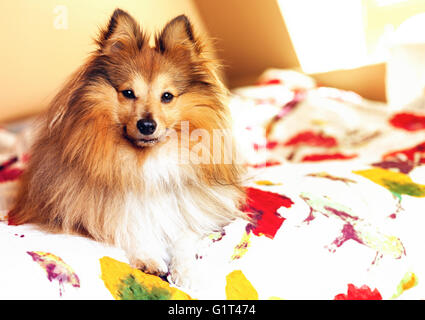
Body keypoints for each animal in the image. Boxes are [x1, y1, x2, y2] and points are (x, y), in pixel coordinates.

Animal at [8, 8, 247, 286]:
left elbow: (184, 236)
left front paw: (187, 272)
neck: (145, 160)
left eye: (167, 96)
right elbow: (129, 227)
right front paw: (150, 259)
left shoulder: (188, 208)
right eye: (128, 93)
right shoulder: (96, 212)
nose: (147, 125)